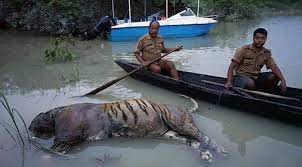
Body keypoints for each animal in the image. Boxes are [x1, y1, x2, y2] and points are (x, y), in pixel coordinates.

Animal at [28, 98, 226, 161]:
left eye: (33, 121)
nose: (29, 129)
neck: (54, 116)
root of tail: (183, 108)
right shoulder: (67, 141)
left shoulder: (65, 138)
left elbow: (48, 152)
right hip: (171, 133)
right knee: (194, 143)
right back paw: (206, 156)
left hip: (179, 123)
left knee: (205, 138)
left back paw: (220, 153)